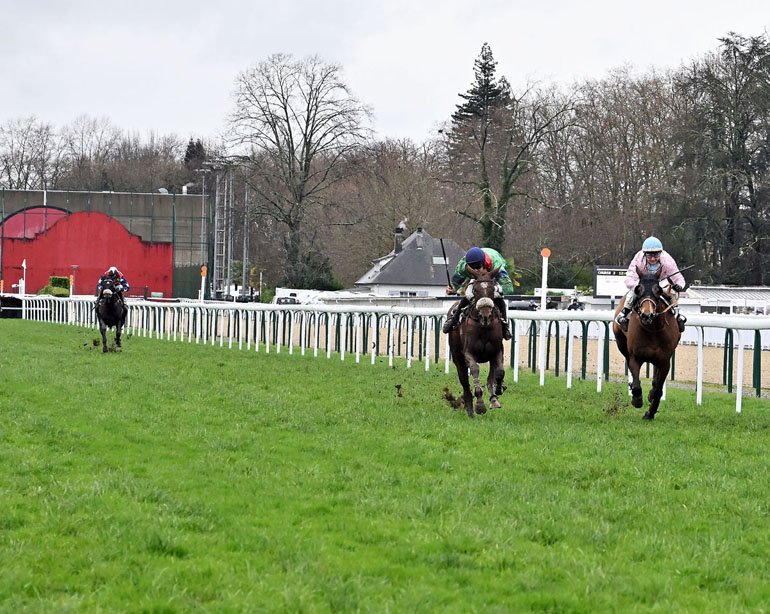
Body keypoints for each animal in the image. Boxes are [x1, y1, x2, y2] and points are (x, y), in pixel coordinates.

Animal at [444, 268, 504, 418]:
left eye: (491, 289)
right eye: (476, 290)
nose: (485, 315)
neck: (484, 327)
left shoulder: (497, 351)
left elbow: (499, 372)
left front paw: (497, 392)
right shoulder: (468, 353)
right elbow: (475, 369)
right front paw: (480, 405)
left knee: (490, 376)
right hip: (458, 359)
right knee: (465, 383)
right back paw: (469, 409)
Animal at [612, 270, 680, 422]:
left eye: (658, 290)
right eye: (638, 289)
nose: (646, 315)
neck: (652, 331)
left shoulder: (665, 362)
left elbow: (659, 390)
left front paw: (650, 413)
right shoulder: (635, 357)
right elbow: (637, 384)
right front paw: (637, 400)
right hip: (621, 343)